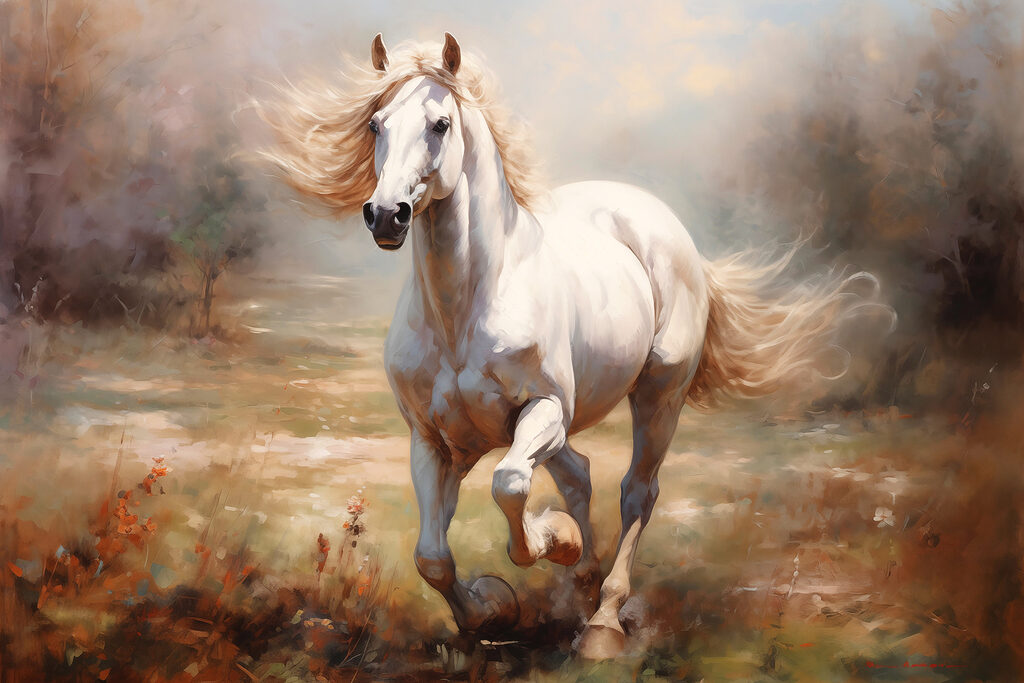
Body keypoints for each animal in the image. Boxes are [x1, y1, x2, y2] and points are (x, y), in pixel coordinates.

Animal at [262, 33, 877, 659]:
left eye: (440, 124)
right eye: (375, 125)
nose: (386, 215)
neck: (463, 311)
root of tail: (658, 220)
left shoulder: (545, 410)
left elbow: (510, 486)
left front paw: (554, 539)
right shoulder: (434, 439)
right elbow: (432, 555)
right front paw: (491, 608)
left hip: (659, 394)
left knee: (636, 492)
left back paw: (602, 620)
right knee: (578, 473)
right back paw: (581, 583)